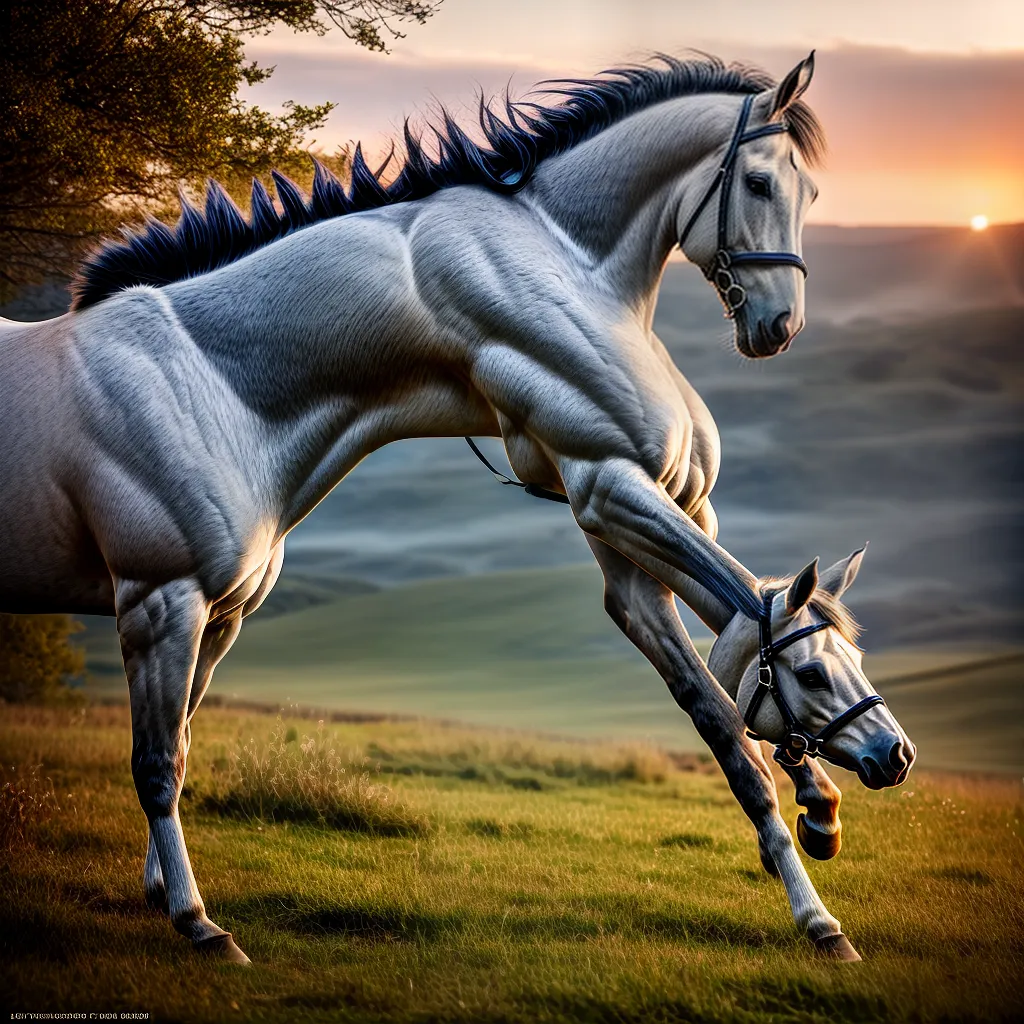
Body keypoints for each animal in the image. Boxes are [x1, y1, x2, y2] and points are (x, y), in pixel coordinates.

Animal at [0, 51, 915, 964]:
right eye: (759, 182)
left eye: (812, 194)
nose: (893, 755)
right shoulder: (607, 482)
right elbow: (160, 760)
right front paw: (195, 921)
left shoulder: (644, 527)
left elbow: (729, 680)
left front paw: (818, 839)